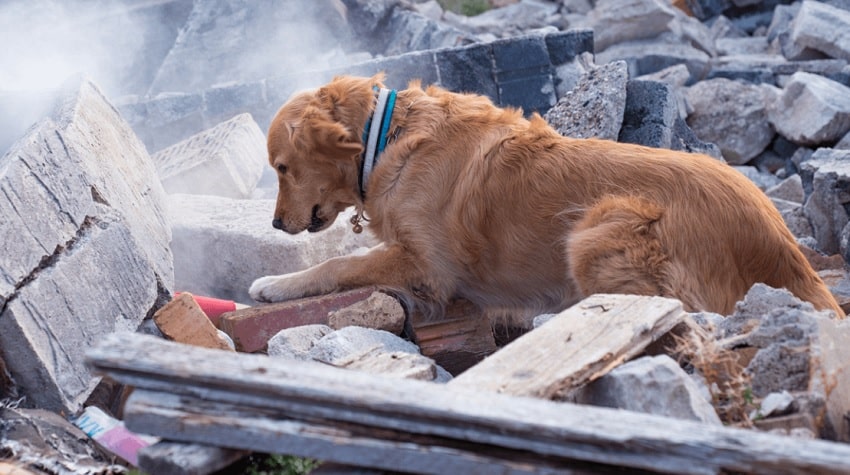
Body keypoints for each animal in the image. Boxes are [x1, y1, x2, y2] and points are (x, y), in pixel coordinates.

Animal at [247, 74, 840, 320]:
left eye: (281, 168)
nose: (275, 225)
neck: (384, 135)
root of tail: (784, 248)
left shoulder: (429, 266)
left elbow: (339, 266)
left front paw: (275, 283)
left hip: (597, 227)